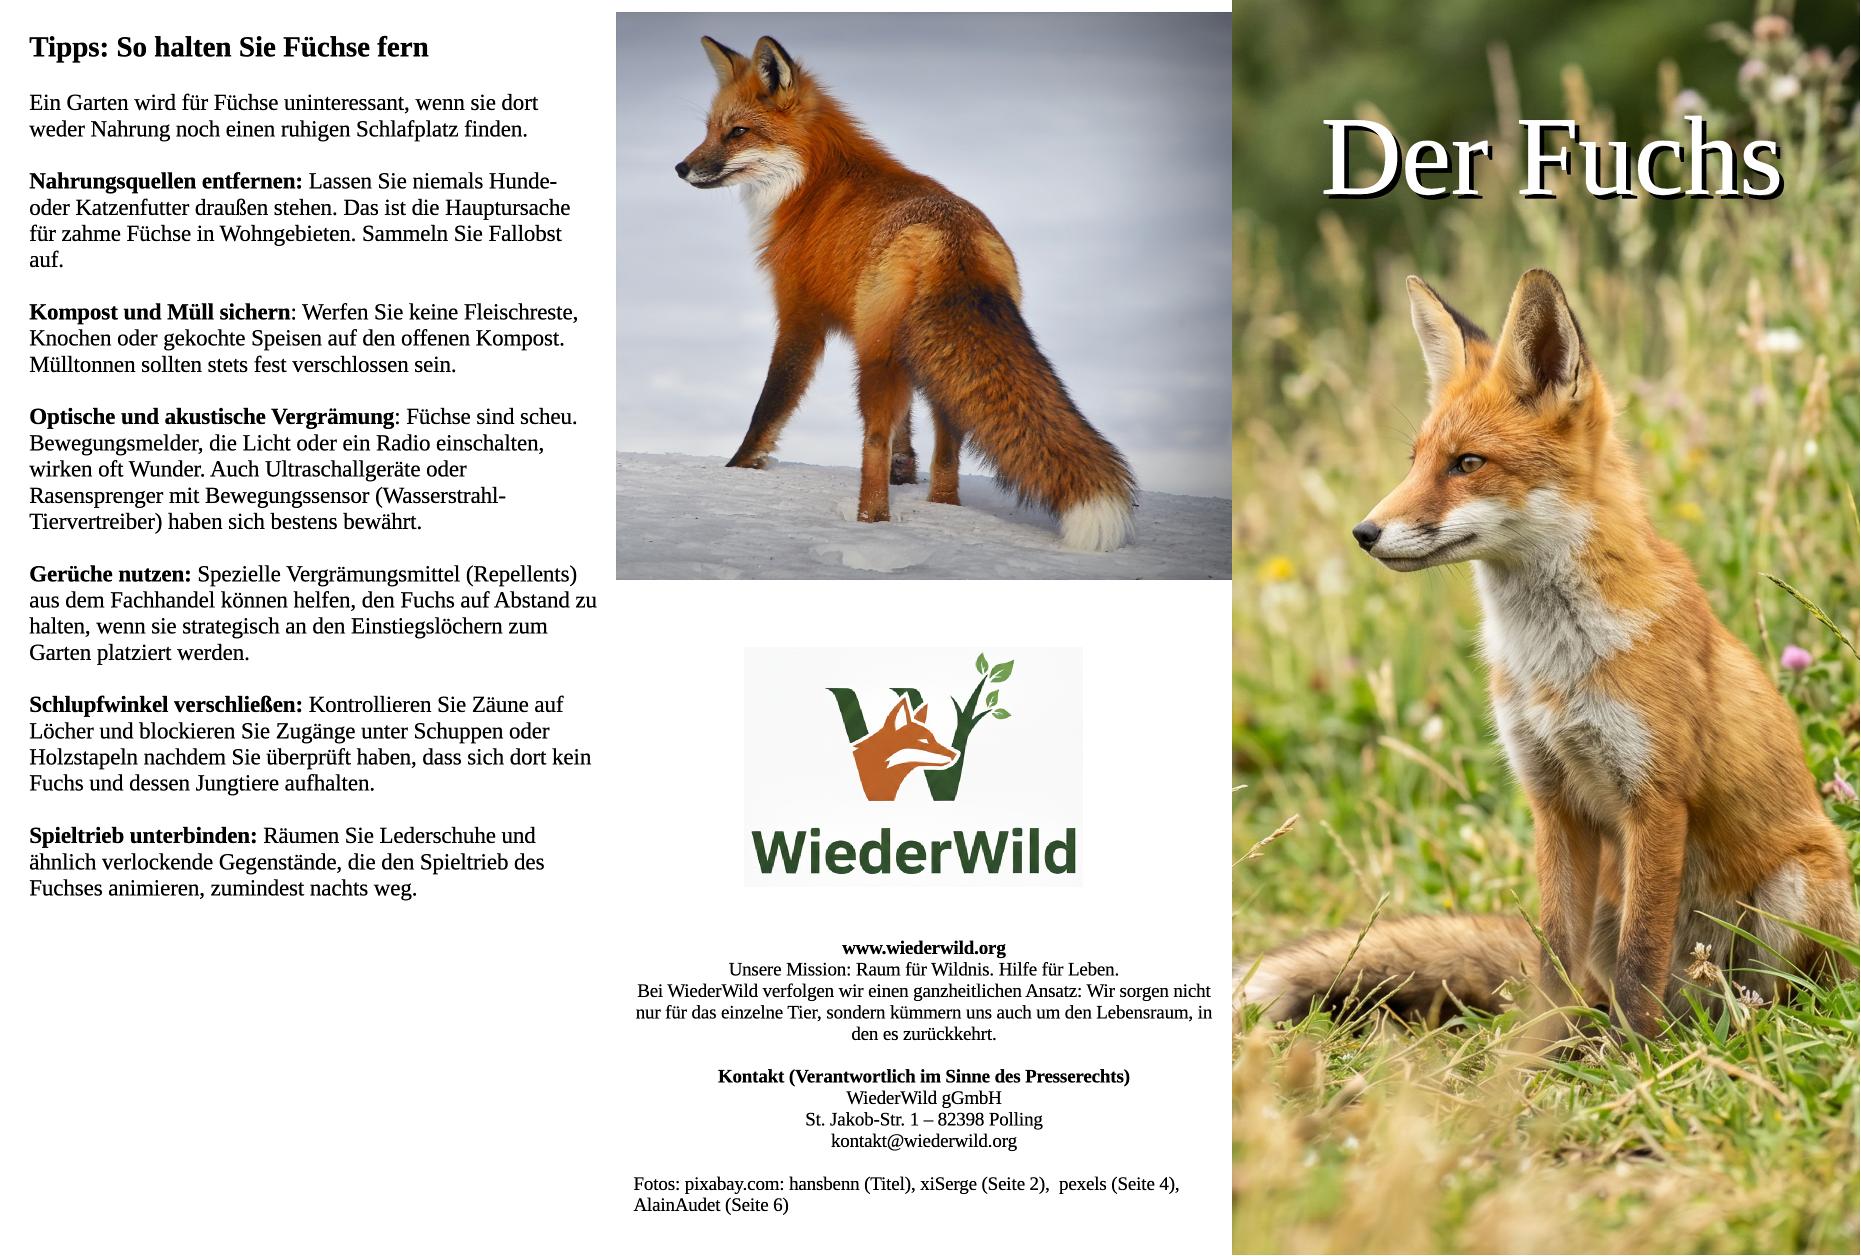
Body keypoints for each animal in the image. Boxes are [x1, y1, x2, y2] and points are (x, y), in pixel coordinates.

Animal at [675, 35, 1137, 552]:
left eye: (737, 132)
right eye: (709, 130)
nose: (681, 167)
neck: (811, 185)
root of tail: (952, 240)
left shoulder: (800, 316)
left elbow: (770, 405)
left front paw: (738, 468)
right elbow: (907, 433)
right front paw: (906, 472)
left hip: (876, 359)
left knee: (872, 442)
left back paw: (869, 522)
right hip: (929, 362)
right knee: (948, 449)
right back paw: (942, 508)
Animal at [1238, 268, 1858, 1039]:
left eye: (1467, 464)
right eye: (1415, 462)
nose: (1364, 532)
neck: (1553, 667)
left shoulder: (1654, 799)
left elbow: (1642, 957)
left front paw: (1634, 1056)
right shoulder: (1552, 800)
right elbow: (1550, 957)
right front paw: (1535, 1054)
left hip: (1793, 889)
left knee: (1769, 994)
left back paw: (1716, 1032)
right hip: (1614, 911)